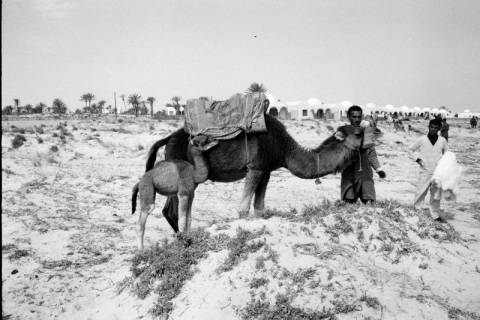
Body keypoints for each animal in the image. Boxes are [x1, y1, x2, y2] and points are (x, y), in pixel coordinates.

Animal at [145, 115, 364, 232]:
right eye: (358, 133)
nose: (372, 133)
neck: (284, 149)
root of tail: (168, 139)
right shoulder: (256, 167)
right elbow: (243, 208)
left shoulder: (266, 170)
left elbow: (260, 207)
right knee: (172, 210)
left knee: (168, 210)